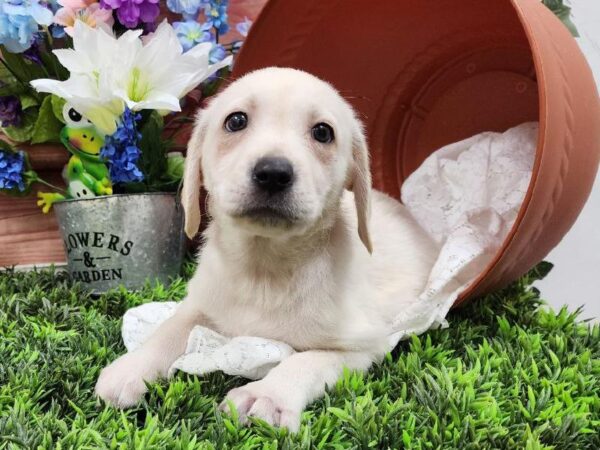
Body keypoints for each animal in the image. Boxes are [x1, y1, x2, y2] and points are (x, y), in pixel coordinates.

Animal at [96, 66, 438, 428]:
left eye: (323, 132)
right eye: (236, 121)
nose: (273, 173)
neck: (264, 268)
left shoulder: (363, 346)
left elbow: (305, 361)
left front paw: (266, 394)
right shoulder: (201, 303)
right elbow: (169, 328)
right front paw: (132, 366)